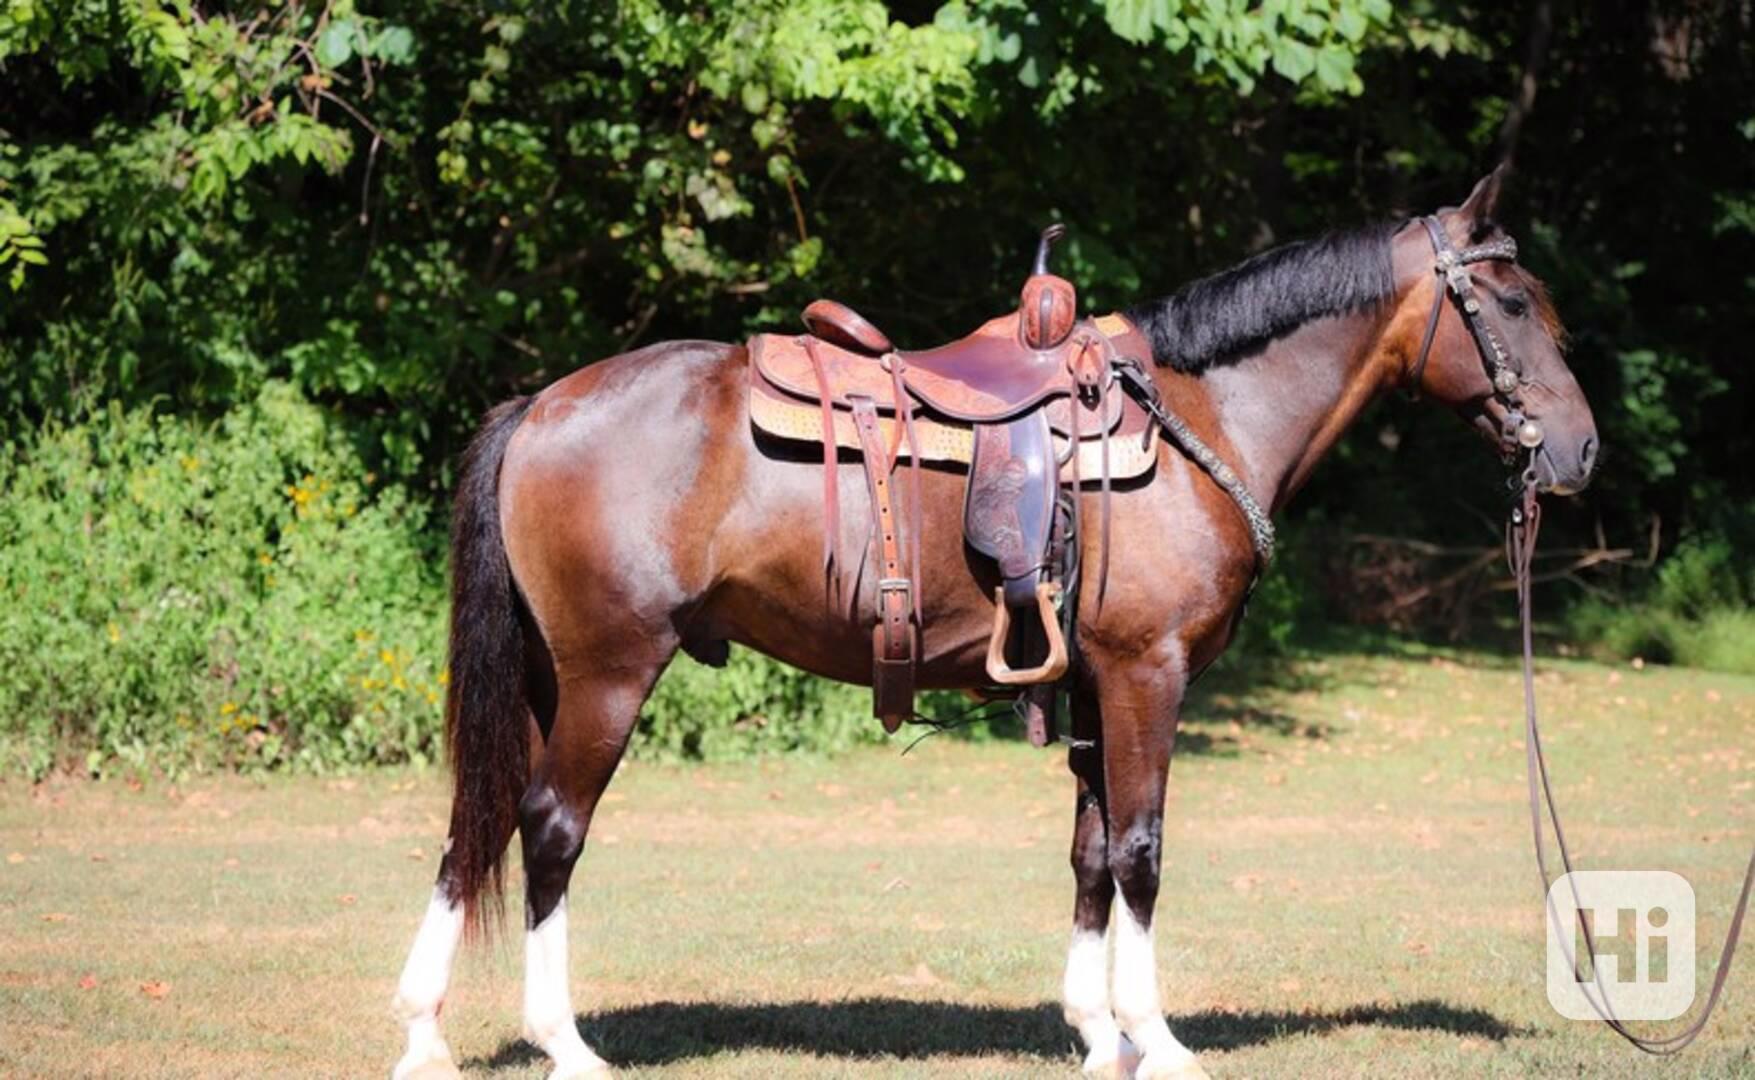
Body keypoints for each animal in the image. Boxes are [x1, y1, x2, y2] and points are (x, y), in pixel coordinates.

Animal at [389, 168, 1597, 1080]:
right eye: (1514, 304)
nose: (1581, 452)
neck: (1201, 418)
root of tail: (539, 405)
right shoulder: (1147, 675)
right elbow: (1142, 850)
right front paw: (1158, 1039)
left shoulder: (1095, 686)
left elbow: (1091, 853)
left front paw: (1100, 1034)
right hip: (607, 672)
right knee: (549, 826)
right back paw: (564, 1044)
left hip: (549, 676)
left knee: (477, 822)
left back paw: (423, 1034)